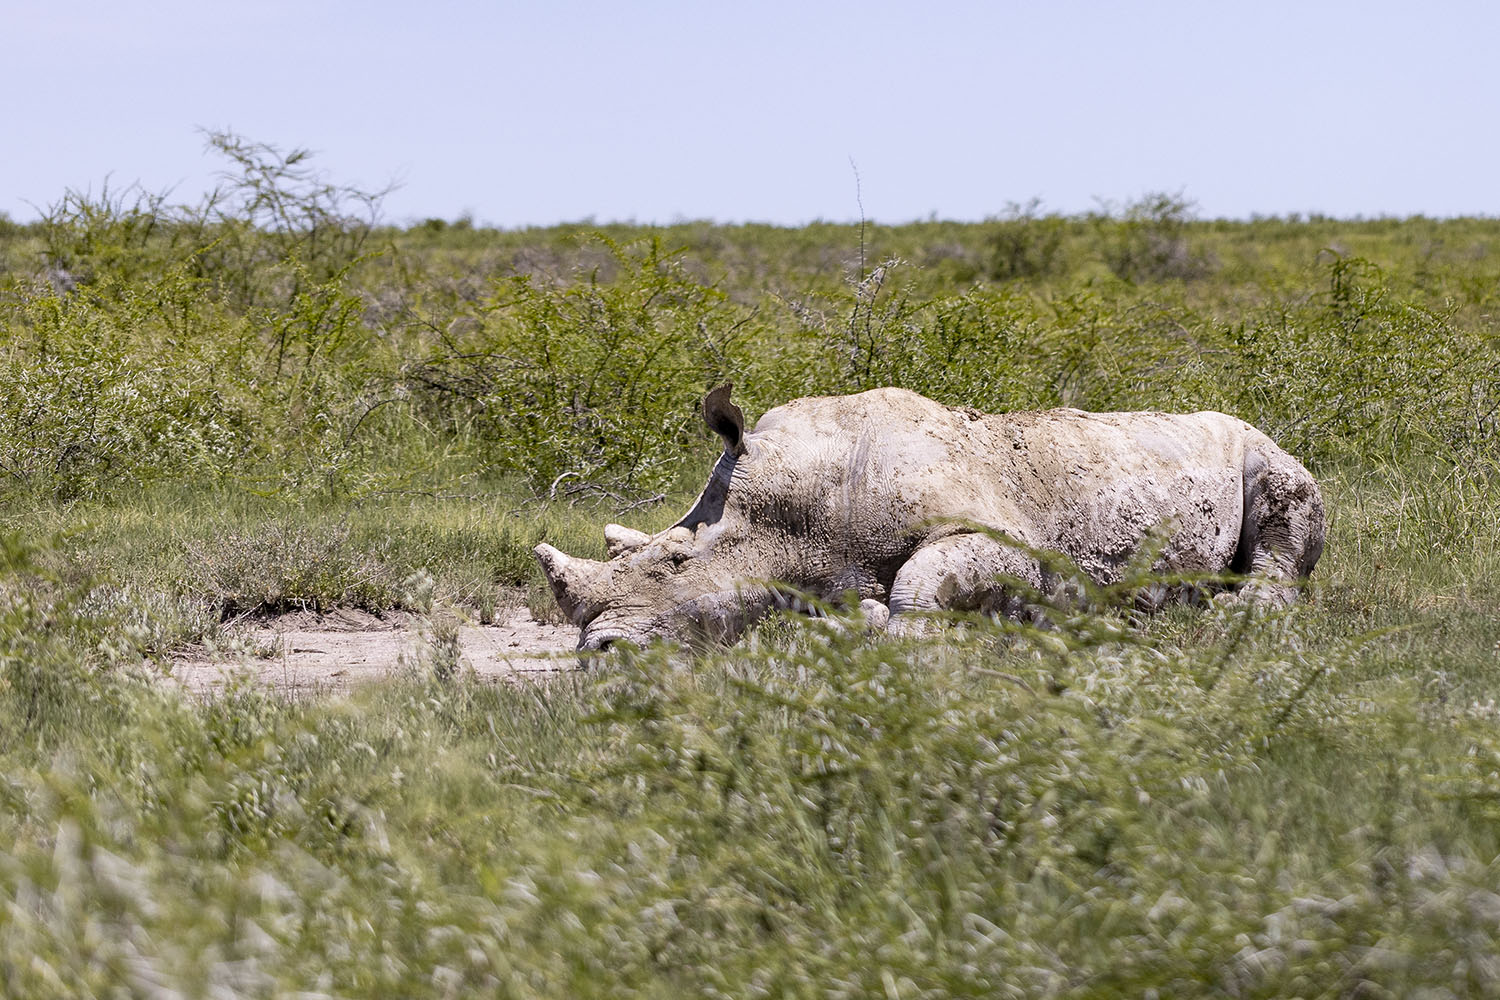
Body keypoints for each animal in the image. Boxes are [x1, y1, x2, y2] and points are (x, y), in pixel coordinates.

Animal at [537, 386, 1326, 653]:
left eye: (676, 563)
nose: (600, 652)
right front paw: (853, 618)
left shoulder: (1008, 542)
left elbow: (923, 577)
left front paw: (897, 630)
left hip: (1260, 445)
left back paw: (1236, 612)